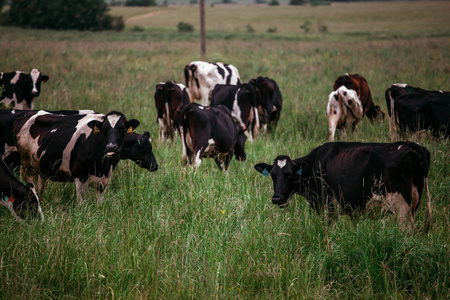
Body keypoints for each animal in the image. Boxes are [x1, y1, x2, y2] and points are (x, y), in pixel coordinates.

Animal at [255, 142, 430, 231]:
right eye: (272, 175)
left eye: (290, 175)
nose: (277, 198)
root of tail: (411, 146)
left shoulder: (328, 207)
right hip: (414, 205)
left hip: (401, 207)